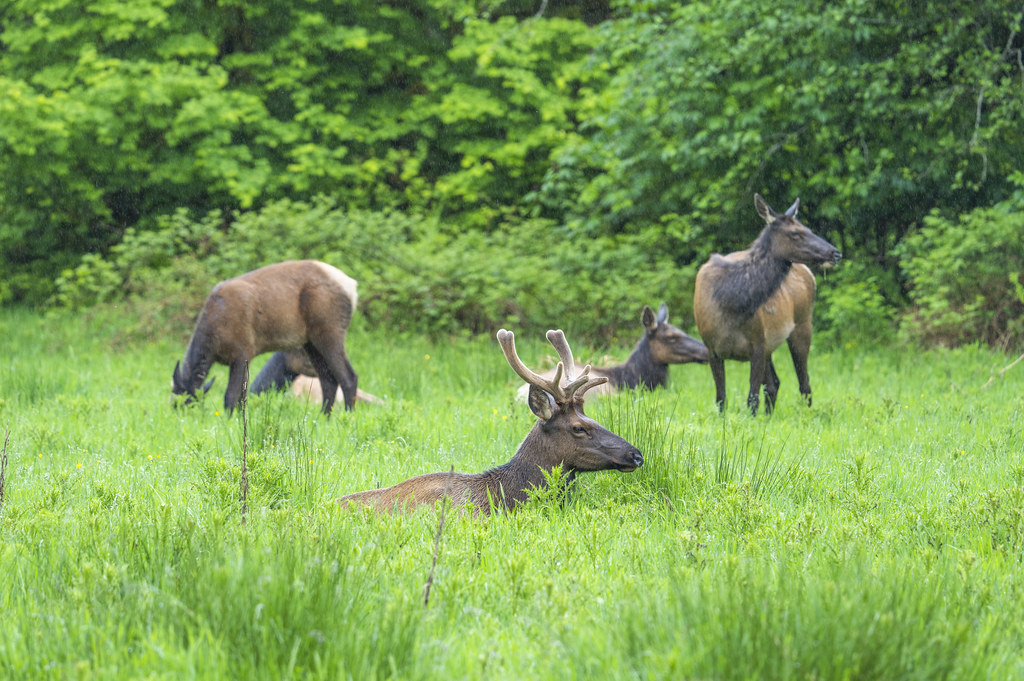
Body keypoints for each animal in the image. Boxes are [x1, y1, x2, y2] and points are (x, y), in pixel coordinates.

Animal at [171, 260, 359, 415]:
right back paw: (324, 418)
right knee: (328, 380)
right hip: (310, 342)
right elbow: (242, 397)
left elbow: (231, 396)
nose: (181, 417)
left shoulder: (241, 352)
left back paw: (348, 416)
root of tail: (352, 287)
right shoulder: (245, 358)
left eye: (185, 401)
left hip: (330, 331)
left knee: (349, 376)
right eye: (173, 401)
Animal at [693, 194, 842, 415]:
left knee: (804, 383)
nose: (835, 253)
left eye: (808, 228)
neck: (729, 302)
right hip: (773, 342)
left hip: (802, 324)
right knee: (775, 384)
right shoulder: (712, 349)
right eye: (795, 232)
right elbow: (721, 399)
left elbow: (752, 399)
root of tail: (808, 272)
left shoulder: (758, 345)